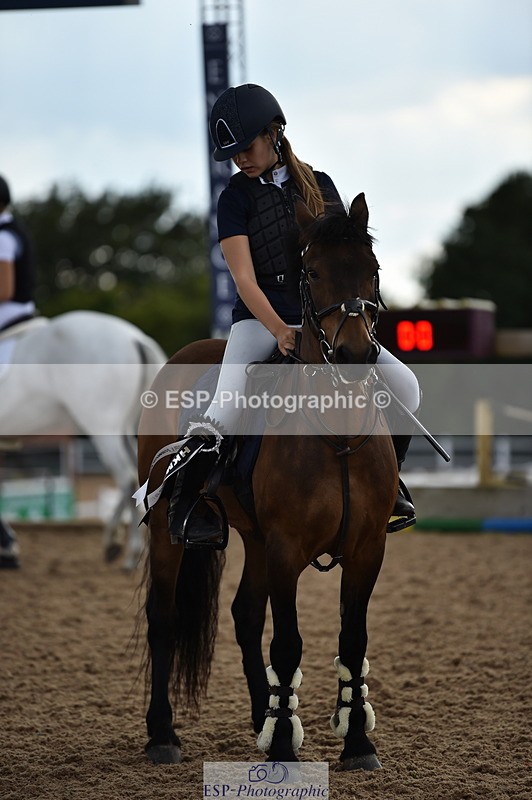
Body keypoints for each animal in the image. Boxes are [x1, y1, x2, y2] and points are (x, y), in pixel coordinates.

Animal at [137, 193, 397, 769]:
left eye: (371, 271)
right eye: (313, 272)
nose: (354, 357)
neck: (336, 431)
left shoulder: (367, 548)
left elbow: (354, 641)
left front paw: (356, 743)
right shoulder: (285, 547)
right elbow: (289, 643)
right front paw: (282, 746)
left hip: (253, 537)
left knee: (245, 615)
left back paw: (262, 715)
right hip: (169, 532)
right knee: (164, 617)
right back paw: (163, 735)